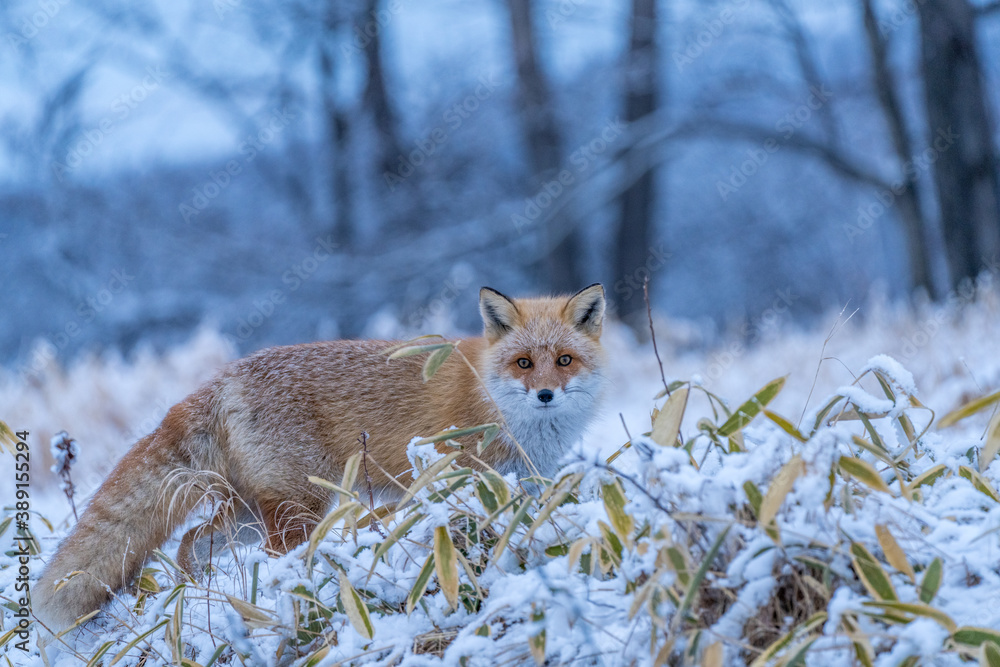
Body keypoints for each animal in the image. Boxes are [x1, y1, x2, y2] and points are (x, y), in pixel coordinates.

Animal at [32, 283, 607, 639]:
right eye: (523, 363)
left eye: (564, 360)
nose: (546, 396)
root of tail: (224, 378)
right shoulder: (458, 474)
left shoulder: (525, 483)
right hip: (301, 509)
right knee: (268, 561)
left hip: (250, 513)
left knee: (191, 542)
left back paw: (199, 598)